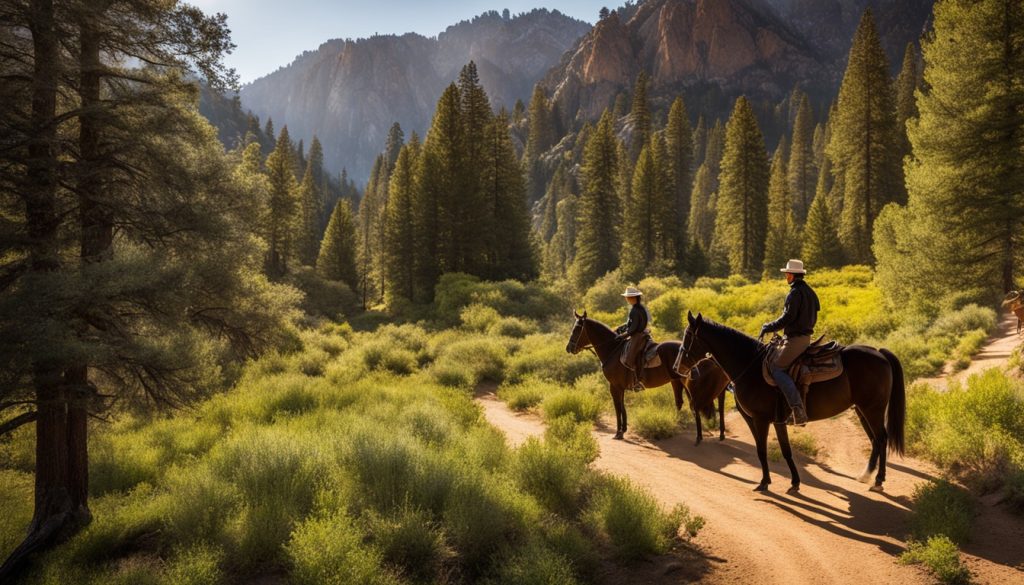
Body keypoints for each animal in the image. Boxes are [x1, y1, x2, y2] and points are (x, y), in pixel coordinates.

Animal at [565, 311, 724, 444]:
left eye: (577, 329)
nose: (569, 348)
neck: (612, 349)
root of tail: (706, 357)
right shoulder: (621, 387)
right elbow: (623, 407)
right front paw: (624, 429)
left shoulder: (614, 386)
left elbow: (618, 407)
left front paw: (618, 433)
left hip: (690, 387)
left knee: (696, 407)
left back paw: (699, 438)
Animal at [679, 311, 905, 493]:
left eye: (688, 336)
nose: (678, 366)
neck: (750, 367)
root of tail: (879, 353)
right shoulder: (772, 420)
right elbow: (782, 450)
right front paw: (793, 482)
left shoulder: (761, 419)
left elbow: (764, 450)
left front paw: (764, 482)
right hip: (862, 409)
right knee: (875, 440)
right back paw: (867, 475)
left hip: (872, 409)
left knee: (881, 438)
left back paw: (878, 480)